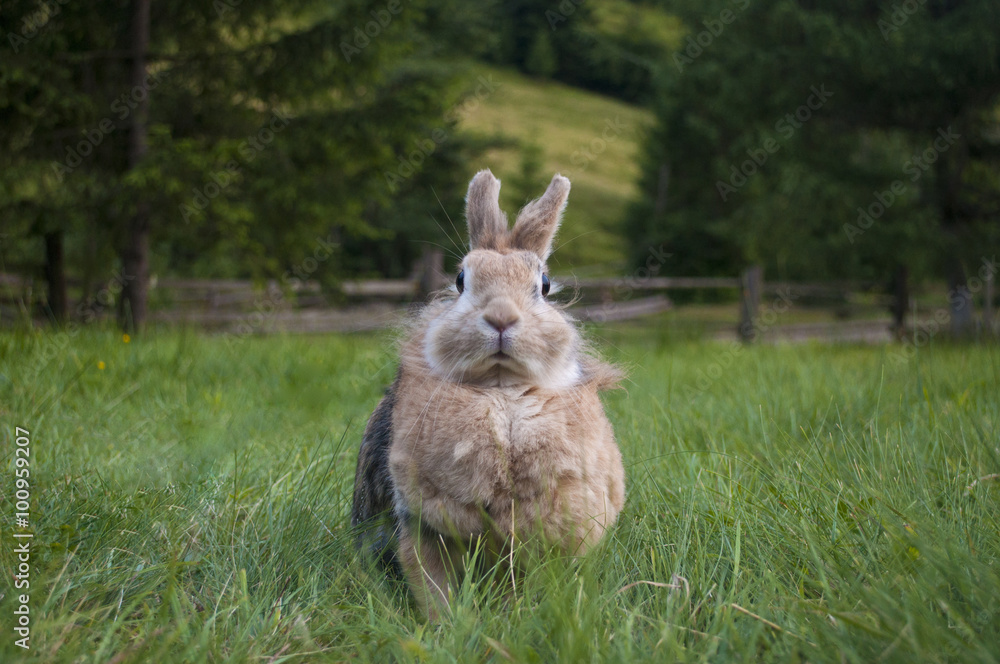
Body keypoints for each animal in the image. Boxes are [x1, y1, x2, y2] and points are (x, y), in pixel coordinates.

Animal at [351, 169, 625, 618]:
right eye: (460, 280)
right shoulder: (422, 527)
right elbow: (432, 585)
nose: (500, 317)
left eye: (544, 284)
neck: (501, 394)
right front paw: (447, 625)